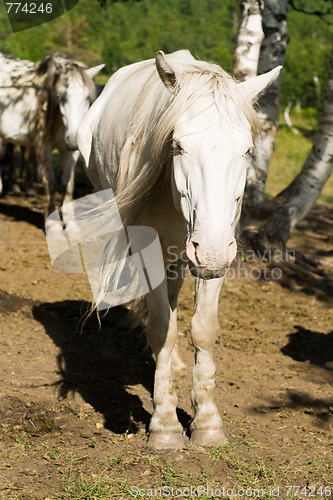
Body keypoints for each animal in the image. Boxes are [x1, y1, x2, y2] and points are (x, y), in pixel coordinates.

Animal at [0, 53, 103, 214]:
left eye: (87, 97)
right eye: (60, 96)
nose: (73, 139)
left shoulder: (70, 152)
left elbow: (67, 186)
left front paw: (69, 220)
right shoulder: (42, 146)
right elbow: (50, 183)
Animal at [77, 50, 280, 450]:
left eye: (248, 150)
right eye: (179, 145)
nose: (210, 250)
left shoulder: (217, 250)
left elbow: (202, 328)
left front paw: (207, 421)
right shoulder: (152, 250)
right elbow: (162, 330)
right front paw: (165, 425)